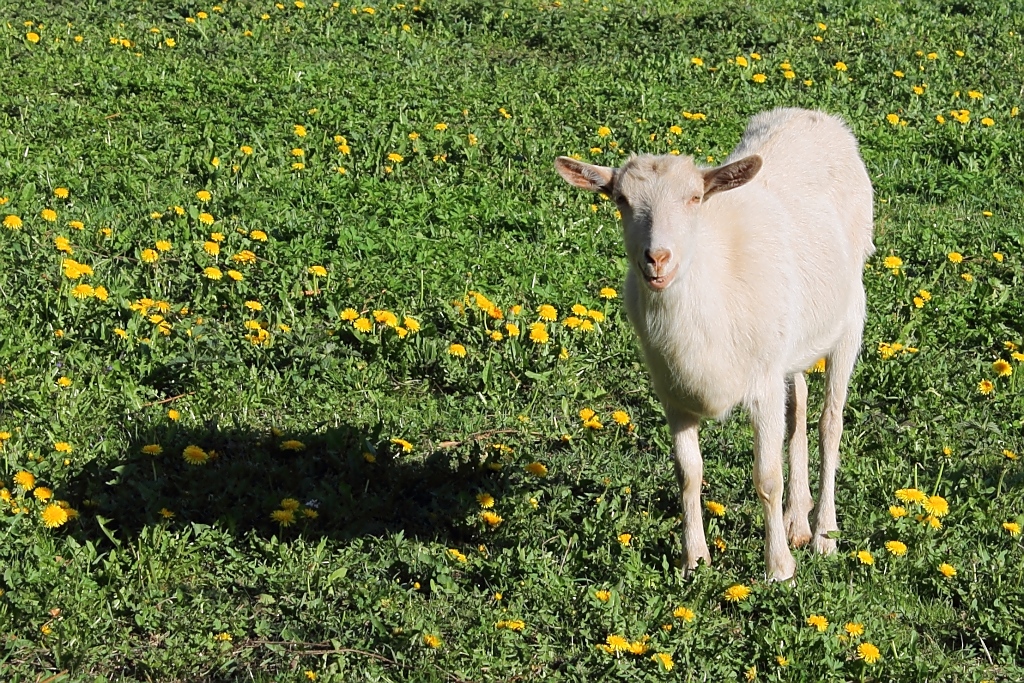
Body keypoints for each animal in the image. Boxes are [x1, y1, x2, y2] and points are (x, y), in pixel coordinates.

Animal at [557, 109, 876, 581]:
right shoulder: (672, 391)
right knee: (799, 407)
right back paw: (797, 521)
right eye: (621, 200)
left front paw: (779, 569)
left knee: (830, 423)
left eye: (694, 198)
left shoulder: (763, 385)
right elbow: (688, 473)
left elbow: (767, 477)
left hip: (850, 313)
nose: (657, 259)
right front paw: (694, 560)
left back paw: (822, 535)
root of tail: (815, 116)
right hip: (793, 339)